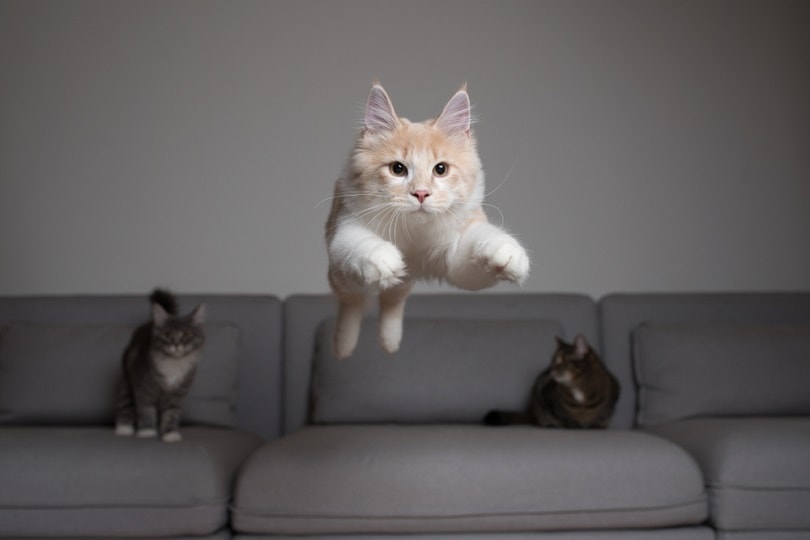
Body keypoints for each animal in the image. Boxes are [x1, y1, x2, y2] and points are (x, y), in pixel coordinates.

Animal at [114, 292, 205, 442]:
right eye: (167, 335)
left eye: (186, 334)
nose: (176, 345)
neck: (173, 364)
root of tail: (150, 323)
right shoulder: (144, 389)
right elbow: (146, 410)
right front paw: (147, 431)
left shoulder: (177, 394)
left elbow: (171, 415)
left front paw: (170, 434)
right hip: (126, 379)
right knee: (125, 402)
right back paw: (124, 429)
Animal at [326, 82, 528, 356]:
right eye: (398, 169)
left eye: (440, 169)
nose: (421, 193)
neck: (415, 238)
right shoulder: (345, 234)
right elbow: (362, 245)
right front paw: (383, 258)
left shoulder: (457, 264)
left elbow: (485, 238)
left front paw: (508, 254)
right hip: (342, 280)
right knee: (352, 304)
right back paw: (343, 347)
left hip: (402, 285)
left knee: (392, 301)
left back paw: (390, 343)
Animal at [480, 336, 620, 428]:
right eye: (553, 360)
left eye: (560, 361)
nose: (550, 370)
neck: (579, 388)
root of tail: (532, 413)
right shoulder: (544, 393)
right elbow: (564, 416)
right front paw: (572, 424)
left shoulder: (612, 397)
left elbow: (601, 417)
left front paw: (594, 425)